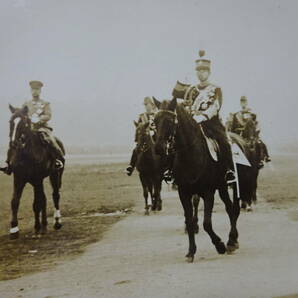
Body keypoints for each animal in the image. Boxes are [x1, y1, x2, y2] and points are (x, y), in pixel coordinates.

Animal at [2, 105, 64, 240]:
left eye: (24, 123)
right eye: (10, 122)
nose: (14, 144)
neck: (27, 154)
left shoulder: (37, 179)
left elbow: (36, 203)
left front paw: (37, 228)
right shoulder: (19, 178)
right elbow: (14, 201)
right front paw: (14, 229)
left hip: (54, 175)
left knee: (55, 195)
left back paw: (56, 222)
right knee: (44, 198)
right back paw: (44, 224)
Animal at [152, 99, 241, 262]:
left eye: (170, 121)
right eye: (155, 120)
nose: (159, 148)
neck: (190, 155)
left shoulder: (208, 192)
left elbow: (207, 223)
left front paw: (220, 245)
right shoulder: (184, 193)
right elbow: (189, 222)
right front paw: (191, 252)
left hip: (224, 185)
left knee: (231, 208)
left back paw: (232, 241)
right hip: (220, 188)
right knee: (230, 208)